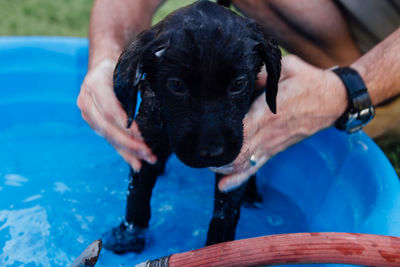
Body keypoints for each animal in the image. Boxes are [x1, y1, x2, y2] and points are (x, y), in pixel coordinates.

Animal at [102, 0, 282, 254]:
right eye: (176, 85)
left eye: (238, 84)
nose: (212, 152)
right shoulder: (146, 139)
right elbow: (137, 193)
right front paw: (129, 235)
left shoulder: (235, 161)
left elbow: (225, 214)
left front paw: (218, 250)